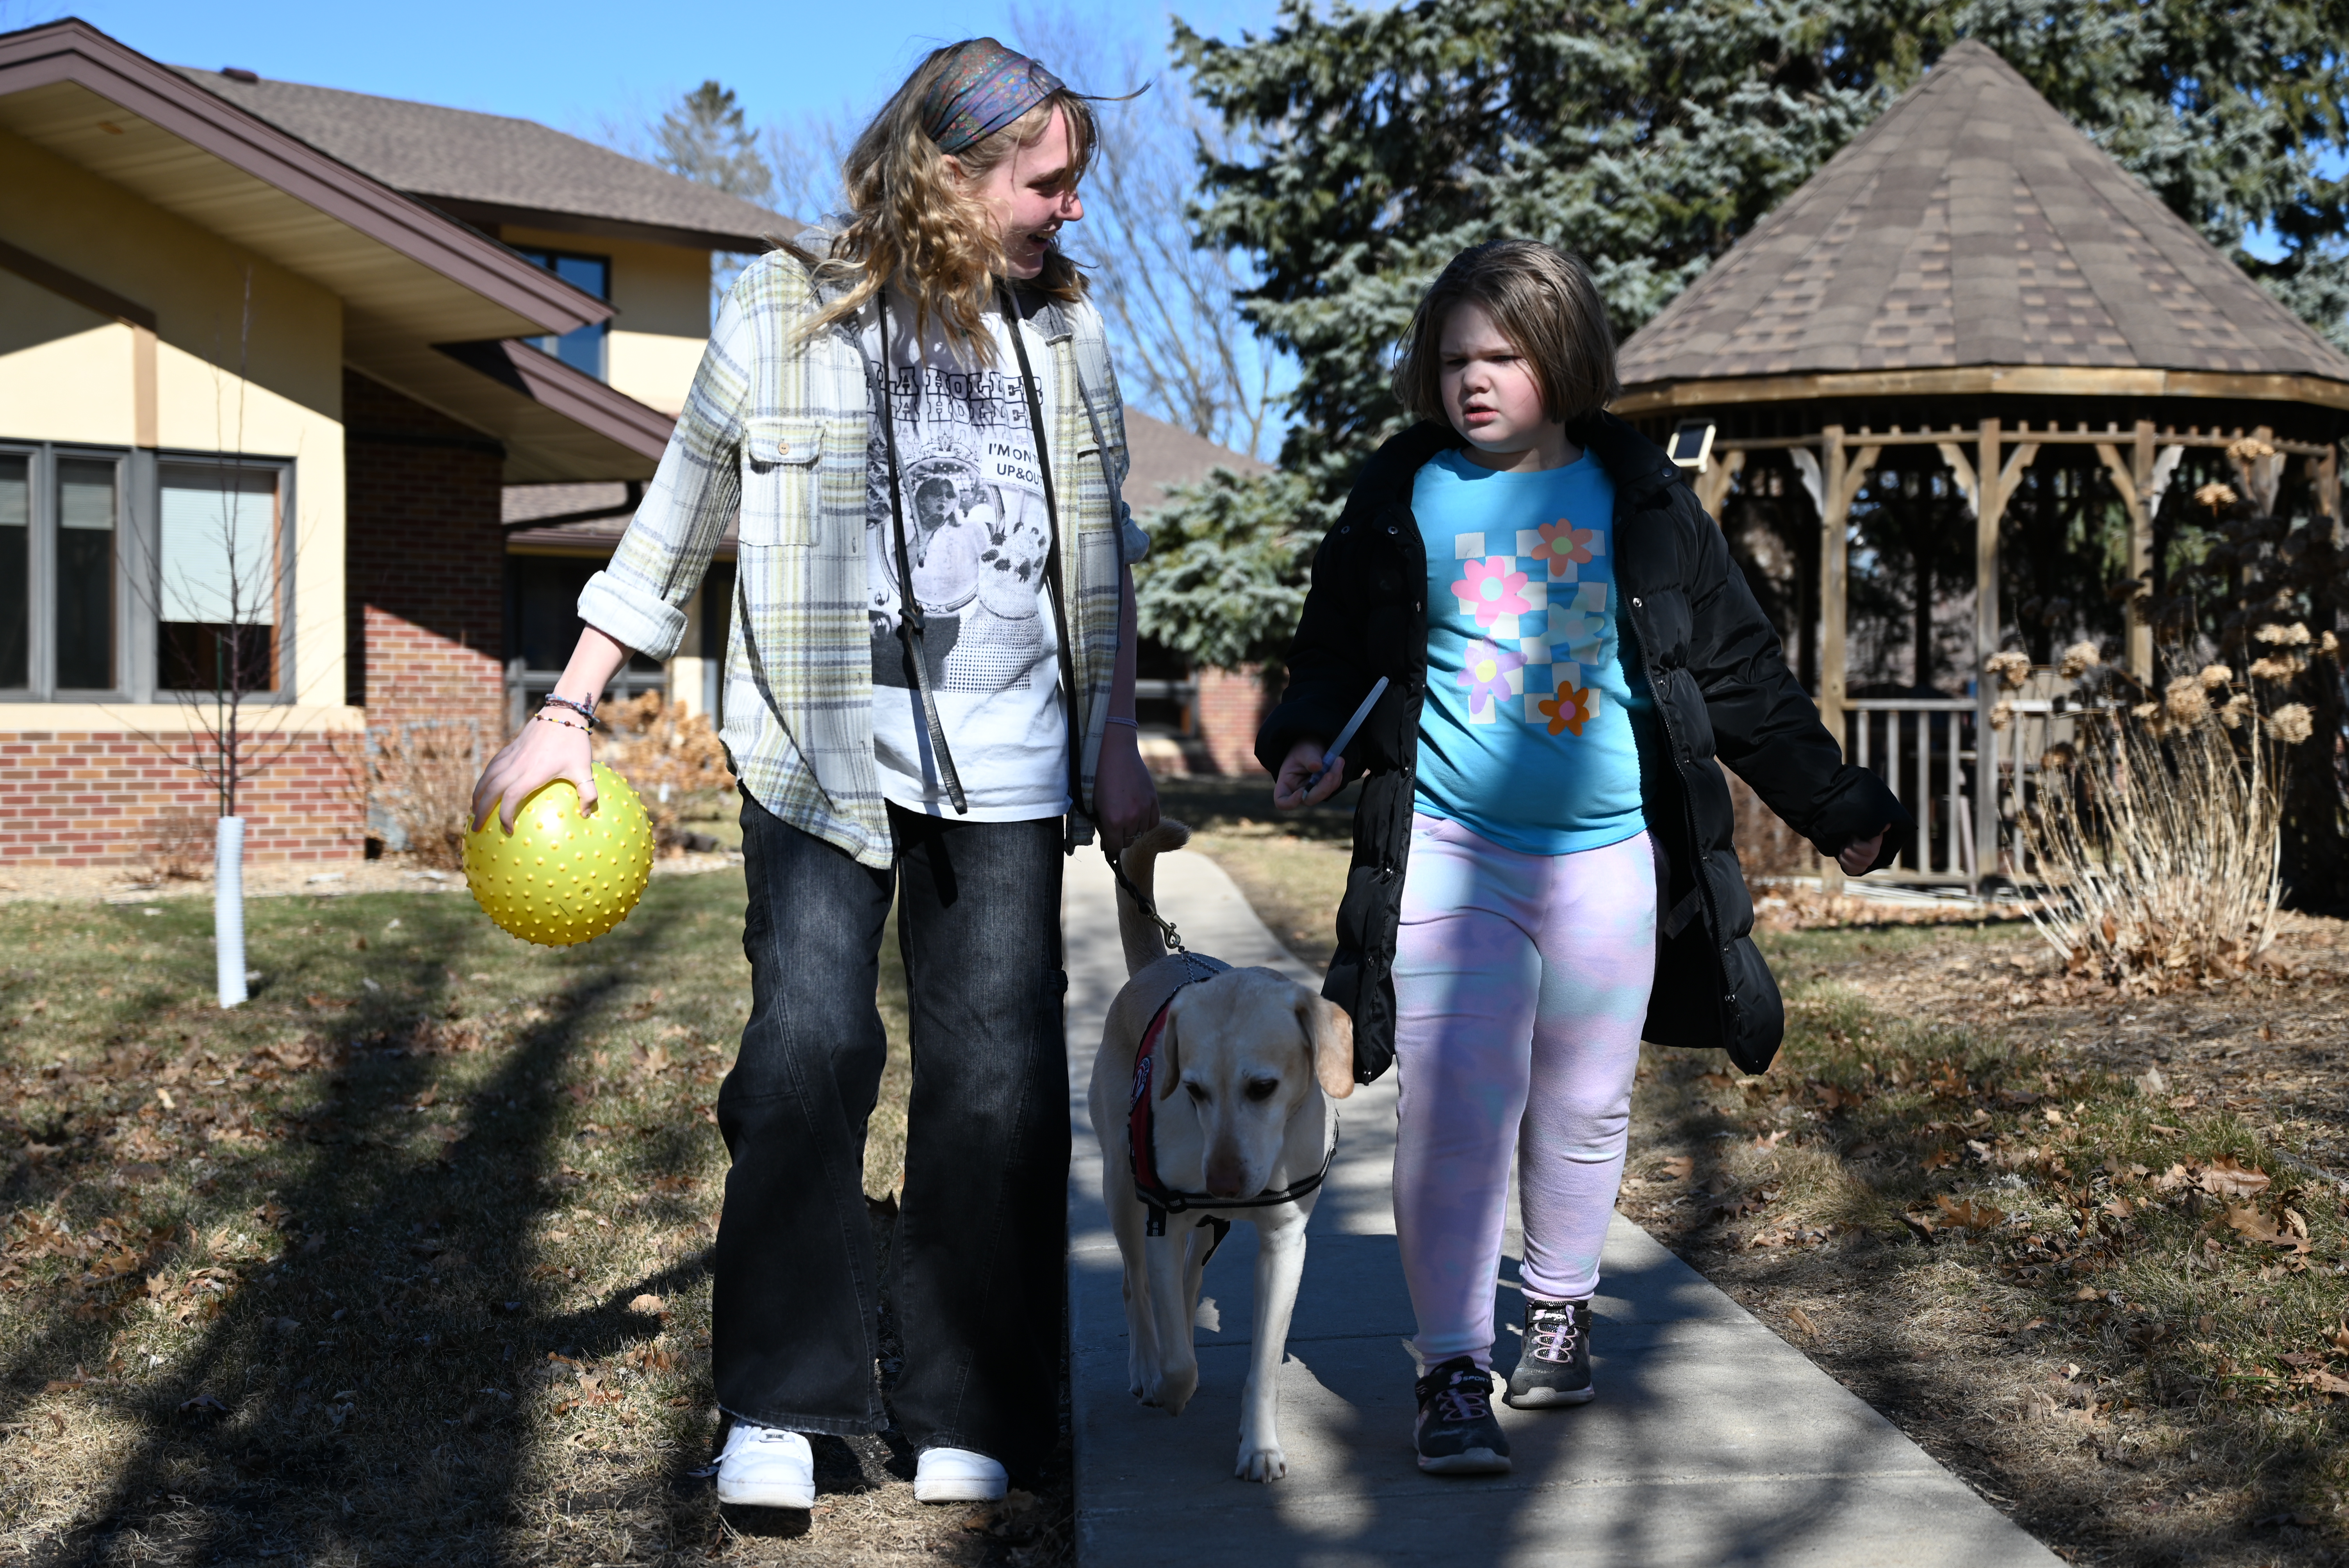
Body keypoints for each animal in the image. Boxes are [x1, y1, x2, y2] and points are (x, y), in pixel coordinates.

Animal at [1085, 821, 1353, 1483]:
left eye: (1264, 1088)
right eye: (1194, 1089)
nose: (1224, 1184)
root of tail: (1159, 964)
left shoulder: (1284, 1245)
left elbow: (1263, 1362)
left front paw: (1260, 1446)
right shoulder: (1163, 1218)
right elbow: (1176, 1356)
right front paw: (1169, 1386)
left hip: (1206, 1228)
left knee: (1186, 1282)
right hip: (1121, 1189)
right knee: (1136, 1287)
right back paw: (1145, 1368)